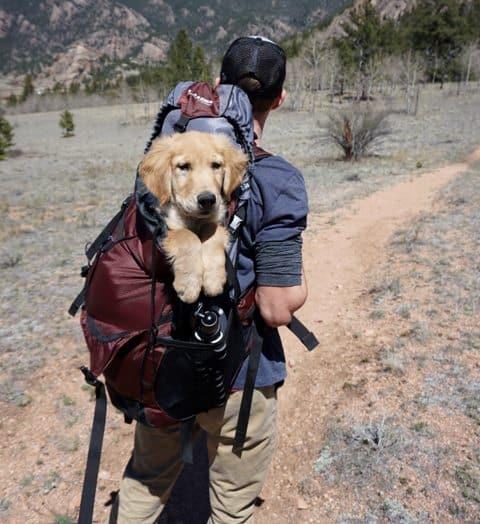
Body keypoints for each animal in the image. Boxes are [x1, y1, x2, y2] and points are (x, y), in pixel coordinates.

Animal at [138, 130, 248, 302]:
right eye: (183, 167)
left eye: (216, 165)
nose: (207, 200)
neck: (194, 219)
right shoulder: (166, 227)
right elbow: (187, 235)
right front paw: (189, 285)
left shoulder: (216, 221)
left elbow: (212, 231)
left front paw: (213, 279)